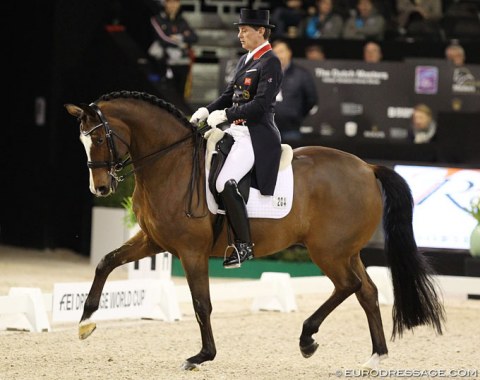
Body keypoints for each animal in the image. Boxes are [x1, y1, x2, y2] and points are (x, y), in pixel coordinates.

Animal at [64, 91, 446, 372]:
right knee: (366, 291)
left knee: (348, 286)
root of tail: (367, 167)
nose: (100, 188)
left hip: (328, 251)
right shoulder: (154, 240)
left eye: (100, 137)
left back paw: (308, 338)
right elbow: (106, 262)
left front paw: (202, 356)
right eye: (81, 141)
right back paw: (374, 357)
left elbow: (201, 303)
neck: (170, 162)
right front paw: (85, 322)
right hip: (346, 251)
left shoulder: (190, 250)